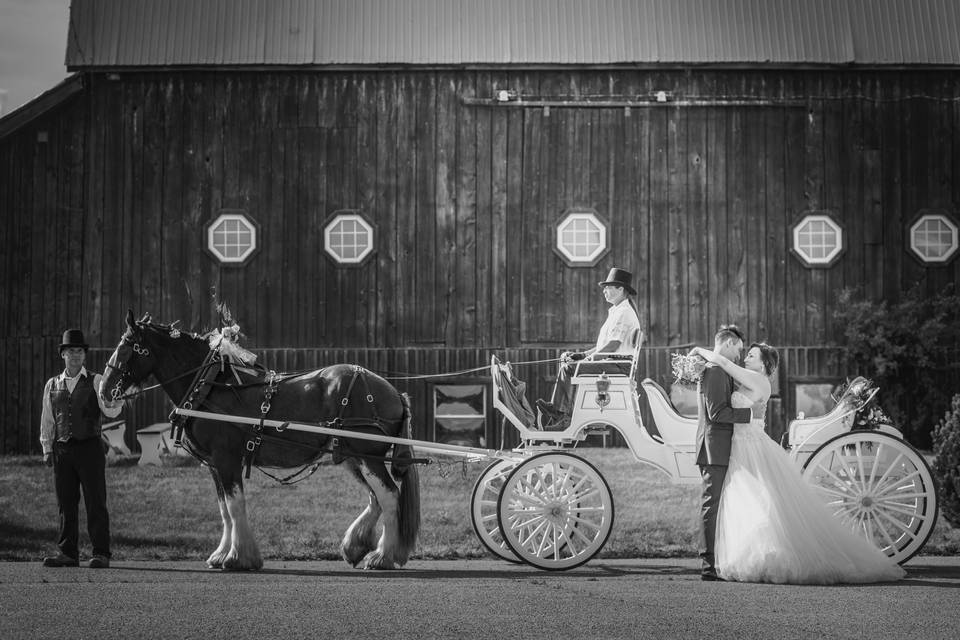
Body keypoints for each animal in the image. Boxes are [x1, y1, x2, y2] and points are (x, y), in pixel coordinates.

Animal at [99, 310, 422, 568]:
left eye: (127, 348)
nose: (103, 392)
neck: (211, 386)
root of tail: (394, 391)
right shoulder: (215, 465)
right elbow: (224, 509)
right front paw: (221, 554)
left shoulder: (226, 458)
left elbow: (234, 505)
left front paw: (238, 557)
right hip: (352, 457)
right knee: (375, 497)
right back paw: (356, 546)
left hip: (369, 457)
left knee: (389, 496)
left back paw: (382, 556)